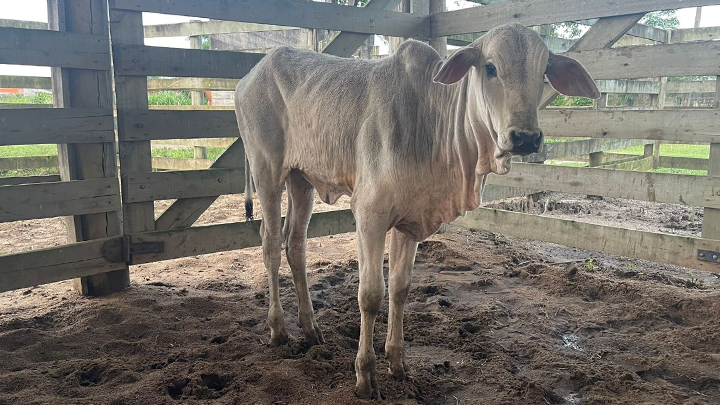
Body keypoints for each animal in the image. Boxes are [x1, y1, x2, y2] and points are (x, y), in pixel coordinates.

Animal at [234, 23, 599, 398]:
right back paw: (278, 329)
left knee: (295, 245)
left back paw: (310, 329)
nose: (526, 137)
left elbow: (400, 288)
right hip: (267, 172)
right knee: (270, 243)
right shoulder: (369, 213)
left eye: (544, 72)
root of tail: (251, 74)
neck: (433, 124)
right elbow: (371, 295)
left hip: (301, 179)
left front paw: (398, 363)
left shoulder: (410, 220)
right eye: (490, 67)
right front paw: (365, 376)